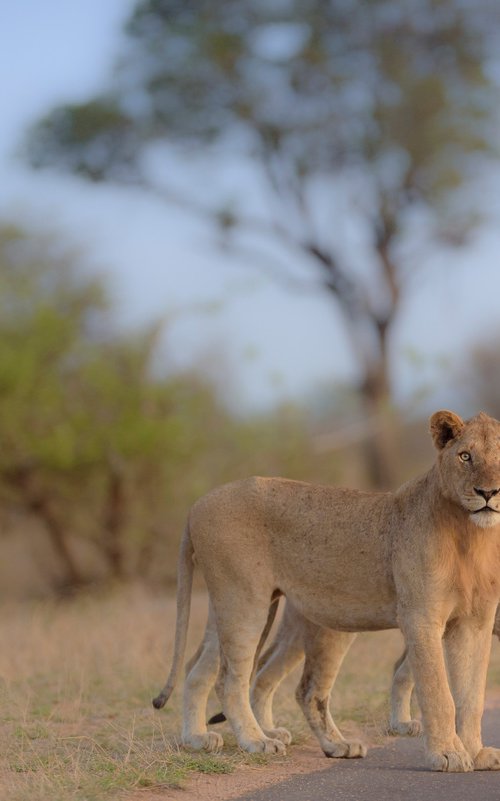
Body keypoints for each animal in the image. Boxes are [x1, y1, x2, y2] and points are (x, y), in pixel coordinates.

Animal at [153, 412, 500, 768]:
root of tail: (196, 505)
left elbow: (471, 695)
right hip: (245, 602)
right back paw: (257, 740)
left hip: (242, 608)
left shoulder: (475, 623)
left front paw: (475, 752)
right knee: (230, 681)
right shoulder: (421, 618)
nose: (488, 492)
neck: (471, 535)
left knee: (204, 671)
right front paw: (448, 754)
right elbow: (437, 691)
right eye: (465, 456)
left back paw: (202, 739)